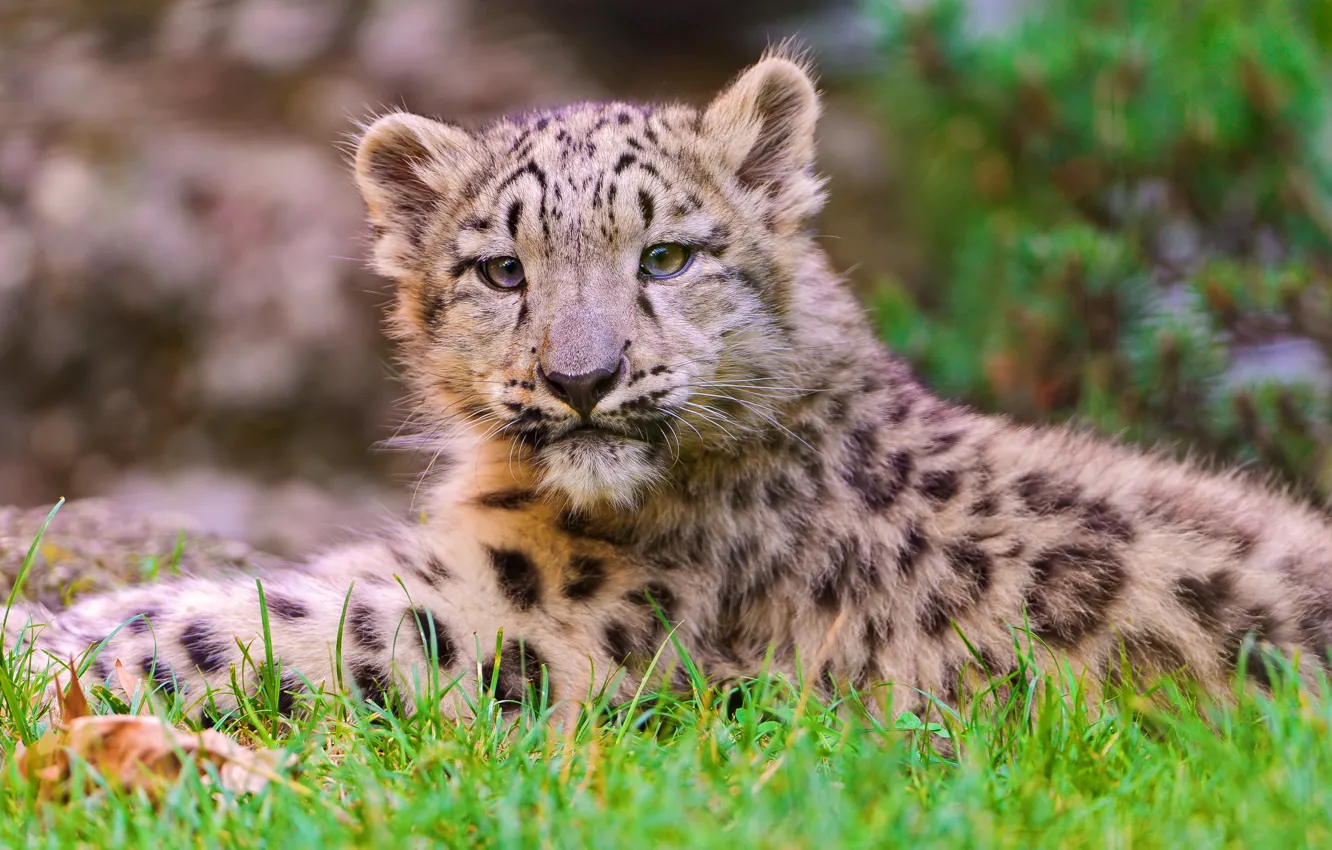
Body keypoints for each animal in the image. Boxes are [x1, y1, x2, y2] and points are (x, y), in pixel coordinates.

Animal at [13, 47, 1332, 729]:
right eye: (502, 269)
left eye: (665, 257)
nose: (583, 376)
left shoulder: (531, 622)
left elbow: (262, 622)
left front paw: (38, 643)